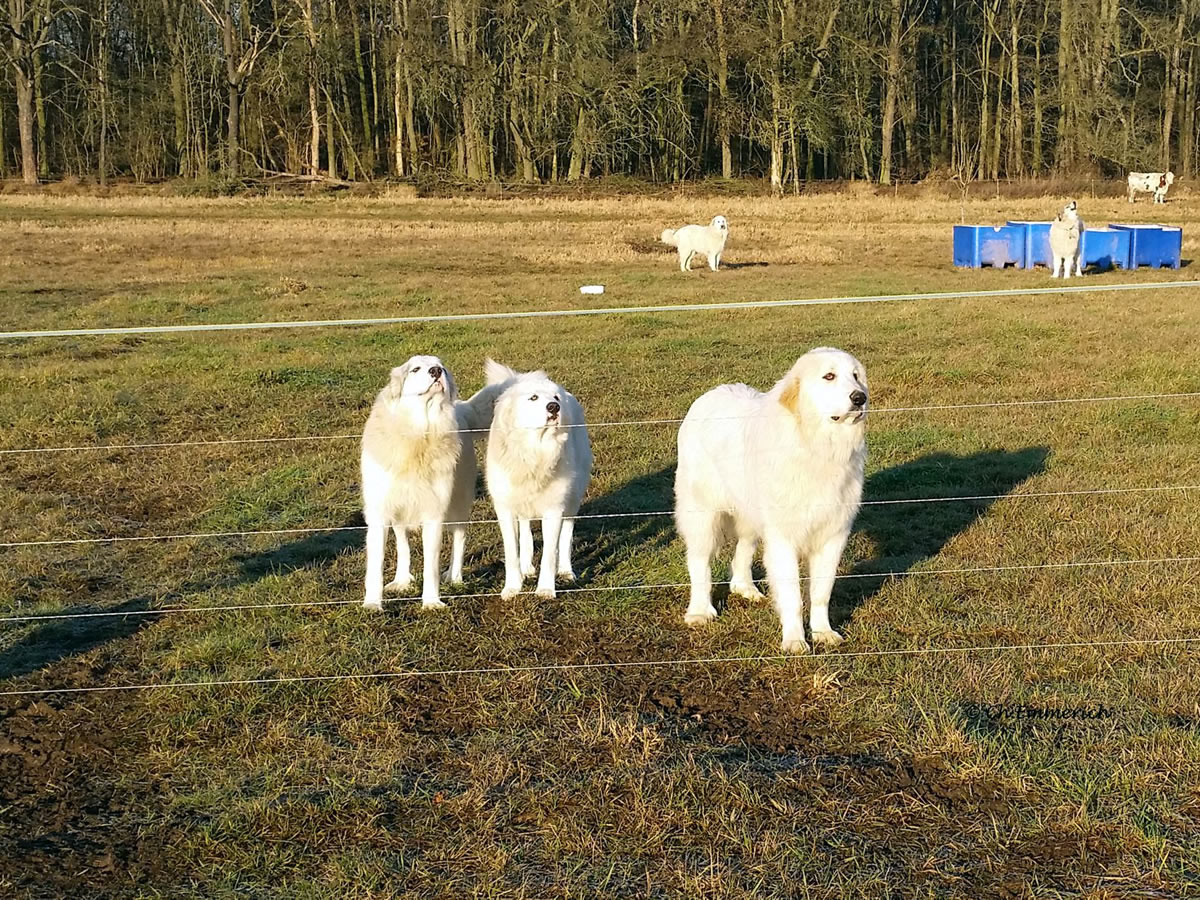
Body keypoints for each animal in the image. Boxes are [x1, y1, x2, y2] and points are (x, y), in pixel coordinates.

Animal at [355, 355, 506, 619]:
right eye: (415, 369)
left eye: (441, 367)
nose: (436, 372)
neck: (420, 432)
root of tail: (461, 408)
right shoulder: (380, 514)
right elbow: (376, 567)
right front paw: (373, 604)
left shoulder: (434, 516)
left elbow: (431, 567)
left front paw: (431, 602)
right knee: (403, 545)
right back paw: (402, 580)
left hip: (459, 503)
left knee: (459, 539)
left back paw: (455, 577)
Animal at [484, 357, 592, 600]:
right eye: (533, 398)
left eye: (555, 398)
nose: (554, 407)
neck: (533, 453)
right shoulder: (505, 509)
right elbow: (511, 552)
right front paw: (512, 587)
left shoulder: (554, 509)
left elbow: (550, 553)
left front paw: (545, 590)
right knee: (525, 530)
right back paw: (526, 567)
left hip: (572, 499)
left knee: (566, 535)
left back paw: (566, 572)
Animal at [672, 348, 868, 652]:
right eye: (829, 376)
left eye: (856, 376)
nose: (860, 398)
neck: (817, 446)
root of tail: (711, 393)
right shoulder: (784, 538)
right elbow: (793, 597)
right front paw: (795, 641)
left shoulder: (832, 536)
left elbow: (821, 592)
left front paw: (823, 632)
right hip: (703, 514)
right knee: (699, 561)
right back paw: (699, 611)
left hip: (749, 513)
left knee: (742, 550)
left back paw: (745, 589)